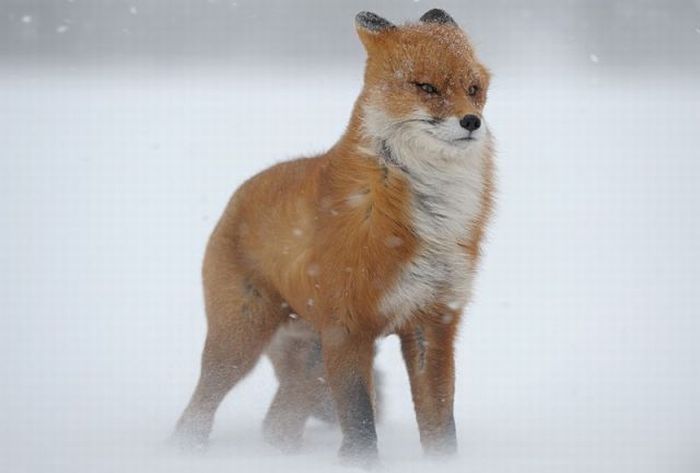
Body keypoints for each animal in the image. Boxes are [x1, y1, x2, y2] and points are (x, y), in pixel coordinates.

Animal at [173, 9, 494, 466]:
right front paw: (360, 463)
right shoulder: (347, 327)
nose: (471, 122)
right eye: (427, 87)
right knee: (197, 411)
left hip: (309, 360)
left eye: (473, 89)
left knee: (278, 425)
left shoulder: (432, 323)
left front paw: (444, 464)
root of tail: (239, 193)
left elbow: (441, 424)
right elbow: (359, 421)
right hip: (239, 343)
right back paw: (186, 451)